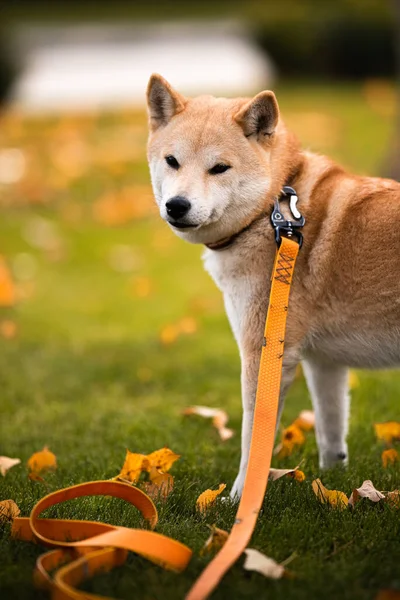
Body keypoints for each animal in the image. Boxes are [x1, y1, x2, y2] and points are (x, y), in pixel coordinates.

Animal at [146, 74, 400, 496]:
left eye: (219, 168)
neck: (273, 212)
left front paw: (239, 498)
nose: (177, 205)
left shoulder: (264, 355)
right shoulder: (323, 361)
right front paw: (334, 486)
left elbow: (253, 441)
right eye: (172, 161)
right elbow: (331, 433)